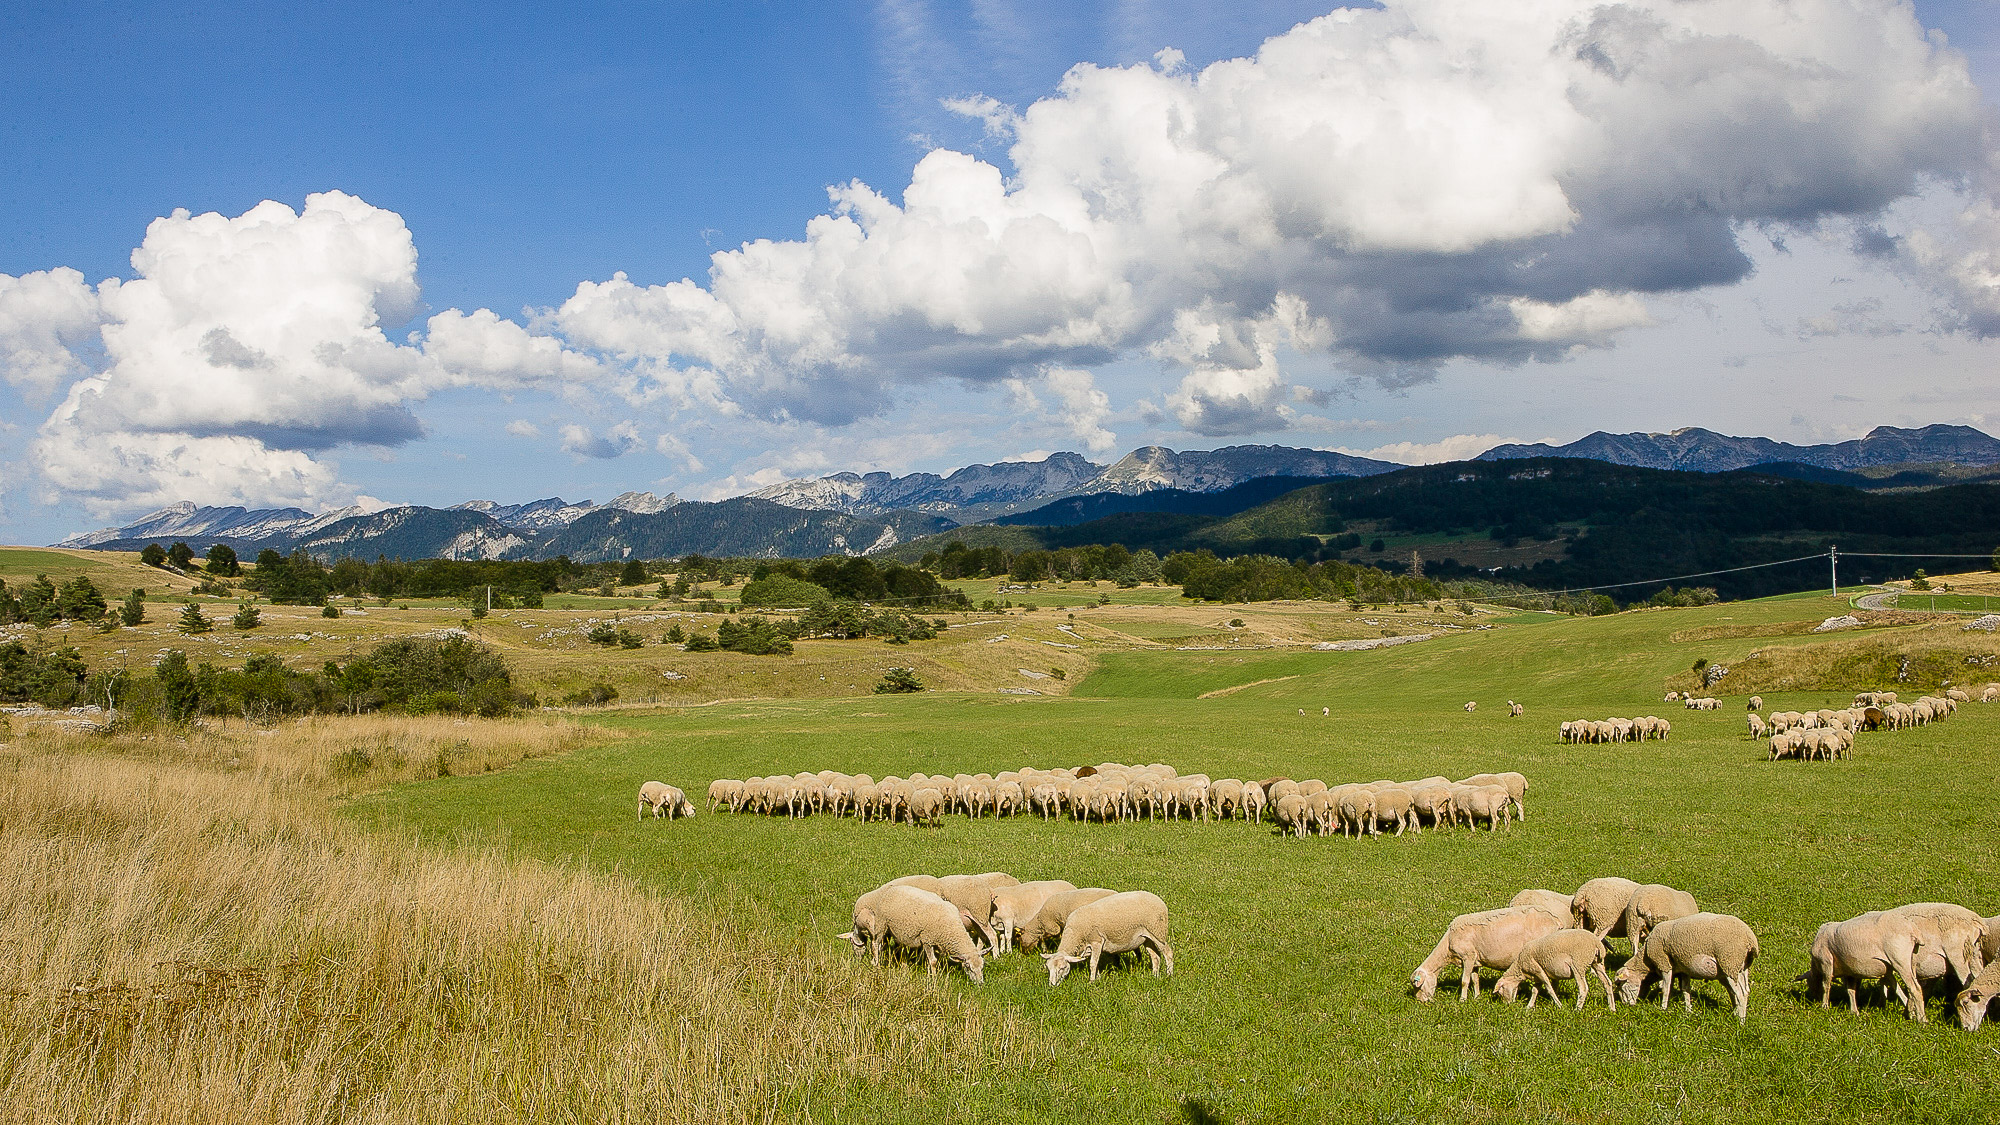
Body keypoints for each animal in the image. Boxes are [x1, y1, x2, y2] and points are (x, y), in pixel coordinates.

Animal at [1416, 900, 1568, 996]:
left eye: (1418, 985)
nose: (1422, 1002)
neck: (1447, 946)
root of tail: (1556, 920)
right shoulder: (1475, 961)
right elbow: (1475, 980)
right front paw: (1476, 997)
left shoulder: (1468, 956)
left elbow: (1464, 981)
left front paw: (1462, 1000)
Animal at [1616, 912, 1760, 1016]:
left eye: (1621, 985)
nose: (1625, 1005)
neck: (1646, 959)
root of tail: (1750, 939)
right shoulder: (1683, 970)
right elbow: (1686, 990)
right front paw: (1688, 1010)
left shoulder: (1664, 962)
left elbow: (1666, 988)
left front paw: (1663, 1008)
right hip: (1740, 968)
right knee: (1743, 991)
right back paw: (1736, 1013)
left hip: (1729, 963)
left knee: (1741, 993)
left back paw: (1741, 1021)